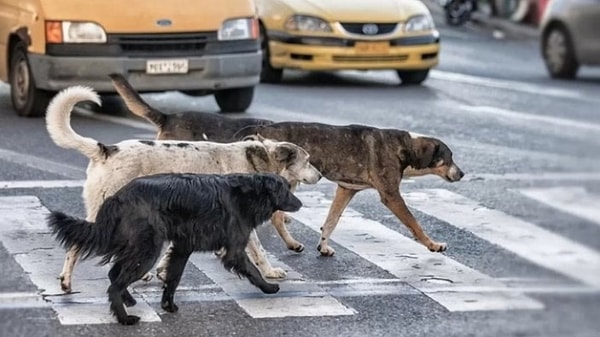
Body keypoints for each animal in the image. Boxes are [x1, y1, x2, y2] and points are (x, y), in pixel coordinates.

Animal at [45, 86, 324, 292]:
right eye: (308, 160)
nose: (321, 175)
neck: (258, 162)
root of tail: (106, 149)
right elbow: (259, 251)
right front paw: (270, 272)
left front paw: (161, 270)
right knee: (77, 244)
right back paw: (67, 282)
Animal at [47, 172, 302, 324]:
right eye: (286, 189)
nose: (300, 203)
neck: (249, 193)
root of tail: (117, 196)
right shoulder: (235, 250)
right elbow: (253, 270)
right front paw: (269, 287)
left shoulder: (182, 248)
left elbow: (173, 278)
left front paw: (167, 305)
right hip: (147, 251)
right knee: (115, 283)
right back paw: (124, 318)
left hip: (138, 248)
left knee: (114, 274)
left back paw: (128, 301)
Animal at [112, 73, 466, 256]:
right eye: (449, 157)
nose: (462, 173)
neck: (405, 147)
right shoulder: (391, 194)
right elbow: (414, 223)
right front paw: (432, 244)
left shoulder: (346, 189)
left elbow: (331, 221)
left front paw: (324, 245)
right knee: (277, 216)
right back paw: (290, 241)